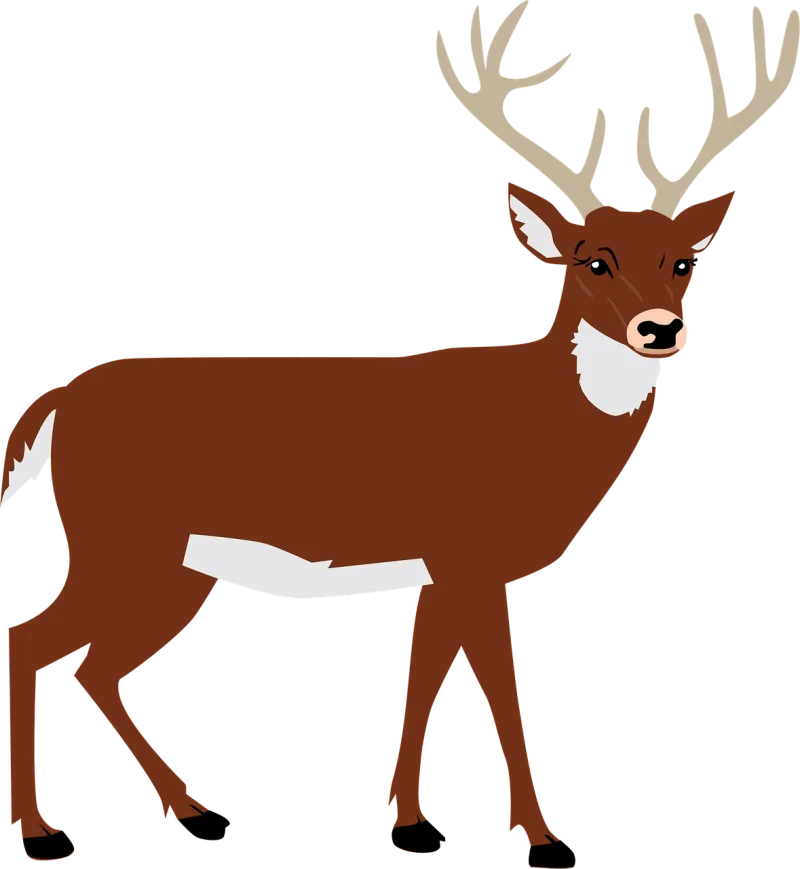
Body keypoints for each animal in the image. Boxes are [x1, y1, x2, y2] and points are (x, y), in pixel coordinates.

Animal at [3, 2, 798, 866]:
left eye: (685, 262)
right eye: (593, 260)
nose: (661, 329)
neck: (539, 426)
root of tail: (53, 405)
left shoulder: (434, 574)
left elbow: (422, 680)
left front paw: (409, 822)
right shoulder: (470, 553)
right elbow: (500, 688)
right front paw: (542, 836)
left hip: (174, 566)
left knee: (94, 667)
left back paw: (193, 812)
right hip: (121, 540)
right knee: (31, 640)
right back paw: (42, 832)